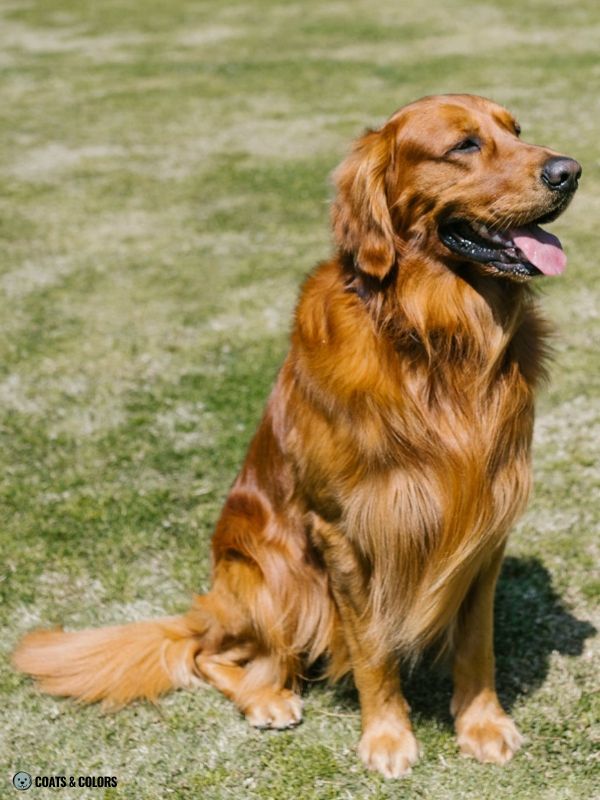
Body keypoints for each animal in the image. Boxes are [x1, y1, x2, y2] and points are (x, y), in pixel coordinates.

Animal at [12, 92, 580, 776]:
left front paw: (481, 724)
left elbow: (477, 642)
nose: (572, 171)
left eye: (516, 131)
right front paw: (388, 737)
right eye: (465, 145)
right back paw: (266, 697)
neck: (435, 342)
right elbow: (372, 650)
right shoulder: (347, 530)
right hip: (279, 576)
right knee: (208, 654)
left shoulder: (484, 523)